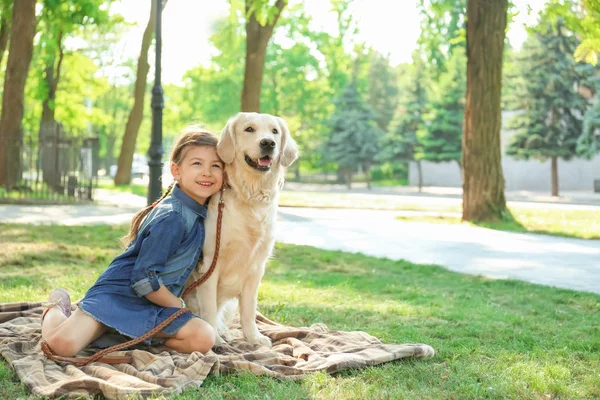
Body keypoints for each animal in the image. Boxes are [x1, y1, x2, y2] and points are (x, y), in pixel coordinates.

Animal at [186, 112, 298, 346]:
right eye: (249, 129)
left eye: (275, 131)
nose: (268, 143)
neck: (250, 198)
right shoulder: (211, 263)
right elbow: (209, 307)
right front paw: (215, 339)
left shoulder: (256, 267)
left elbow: (249, 309)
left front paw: (254, 338)